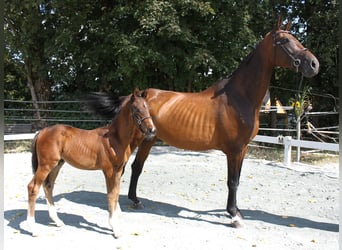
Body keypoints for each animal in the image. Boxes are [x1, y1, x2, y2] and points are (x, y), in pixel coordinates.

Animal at [26, 88, 155, 238]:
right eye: (136, 109)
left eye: (147, 108)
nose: (152, 130)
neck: (114, 138)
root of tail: (42, 132)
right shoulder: (109, 171)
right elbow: (111, 195)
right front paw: (115, 229)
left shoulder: (118, 171)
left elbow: (116, 194)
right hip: (46, 165)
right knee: (33, 187)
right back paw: (33, 229)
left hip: (57, 164)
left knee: (48, 186)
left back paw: (57, 221)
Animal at [87, 17, 320, 229]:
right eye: (284, 40)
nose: (313, 64)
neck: (240, 97)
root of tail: (135, 97)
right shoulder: (234, 150)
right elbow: (232, 181)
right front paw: (233, 215)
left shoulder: (243, 149)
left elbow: (237, 179)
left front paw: (237, 211)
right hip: (139, 140)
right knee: (126, 167)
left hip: (149, 139)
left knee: (136, 167)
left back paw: (135, 200)